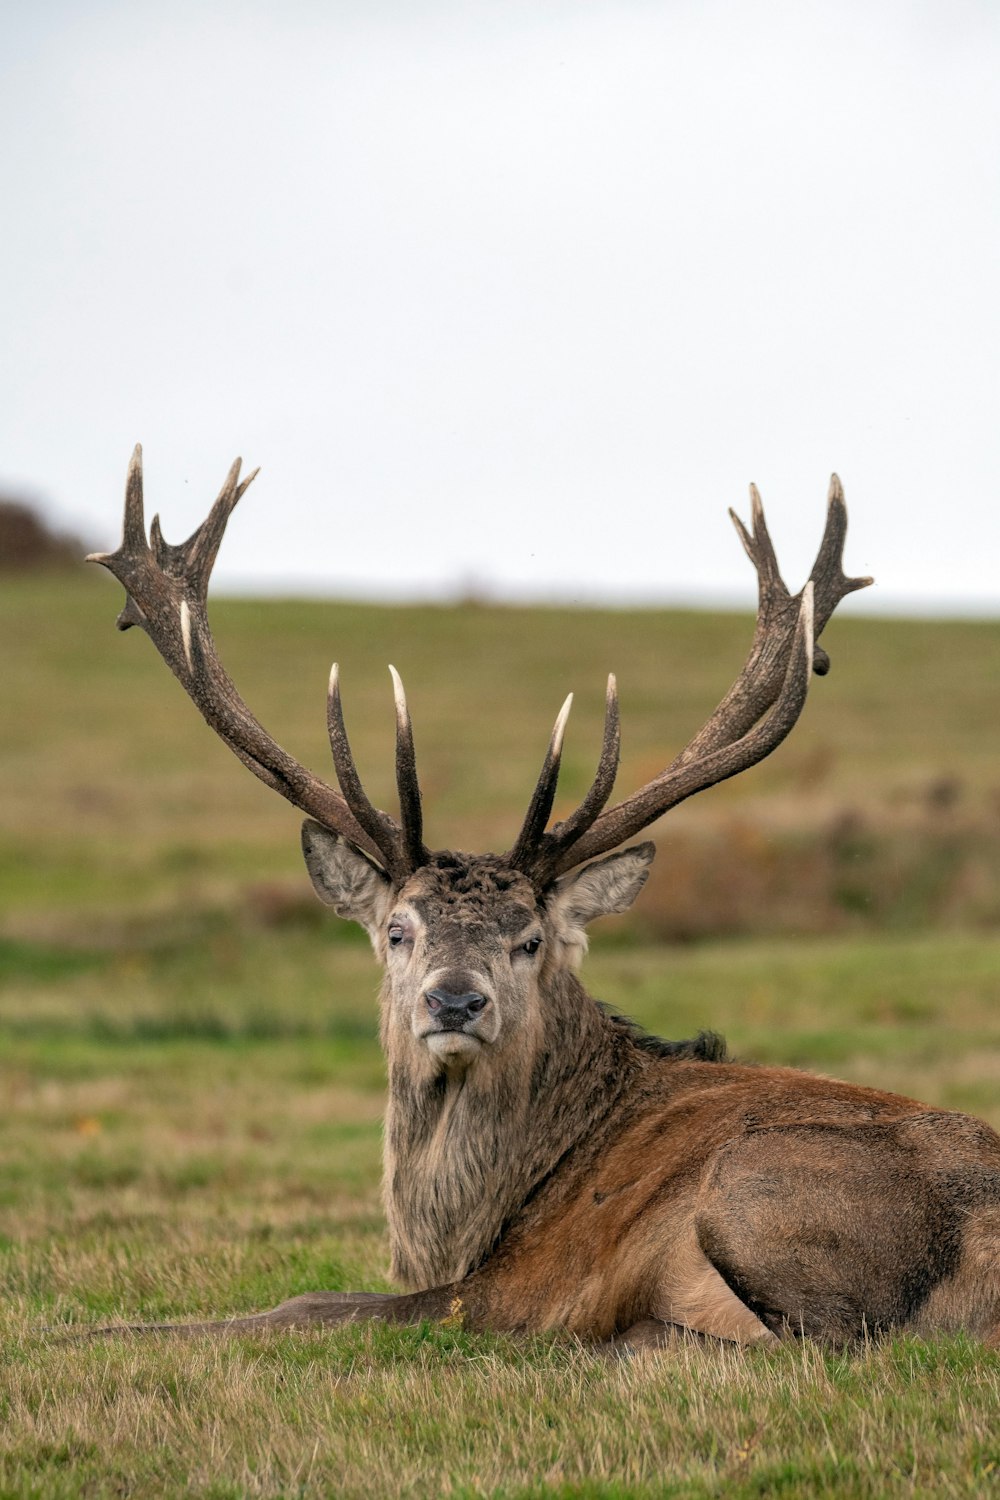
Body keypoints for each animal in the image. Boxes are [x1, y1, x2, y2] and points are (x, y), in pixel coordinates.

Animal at [83, 441, 1000, 1350]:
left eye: (530, 939)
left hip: (758, 1184)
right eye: (398, 930)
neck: (469, 1226)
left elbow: (309, 1305)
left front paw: (87, 1336)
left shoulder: (519, 1287)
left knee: (820, 1340)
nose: (455, 1001)